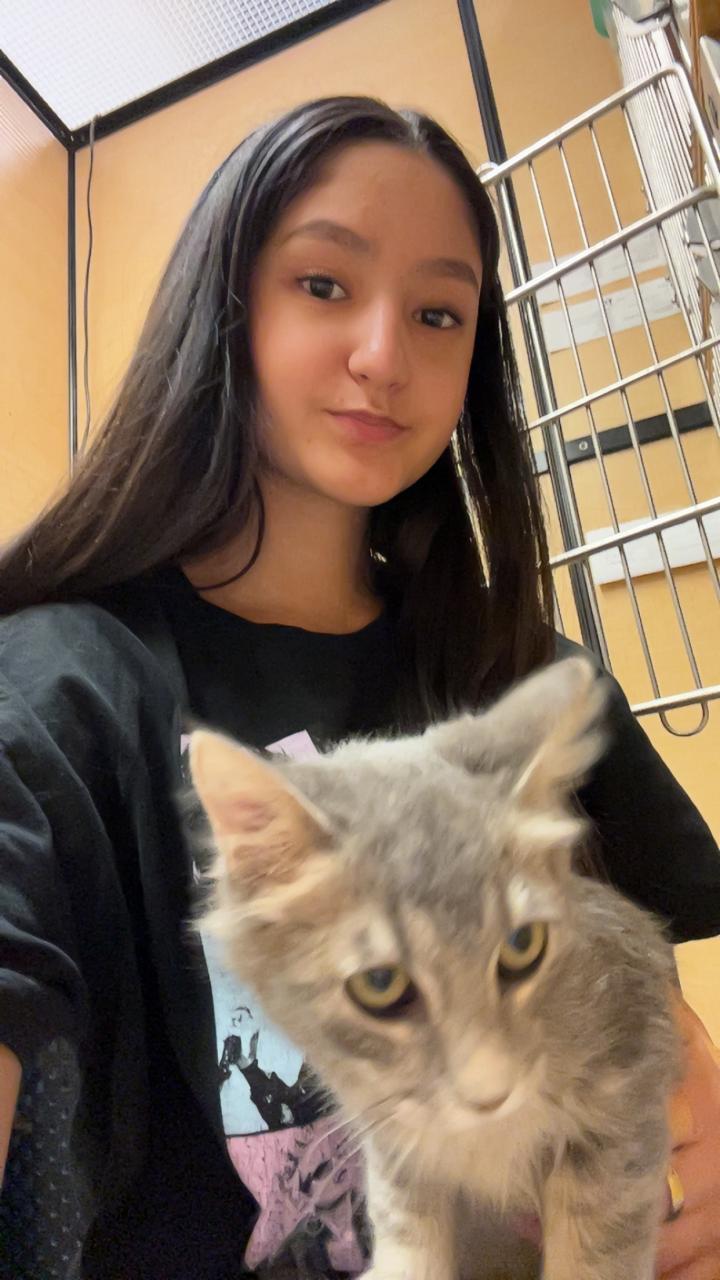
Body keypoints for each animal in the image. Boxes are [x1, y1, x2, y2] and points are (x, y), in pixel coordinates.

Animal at [189, 656, 681, 1280]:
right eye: (380, 985)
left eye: (523, 945)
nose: (490, 1096)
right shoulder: (396, 1142)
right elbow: (408, 1231)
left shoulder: (625, 1110)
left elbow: (598, 1248)